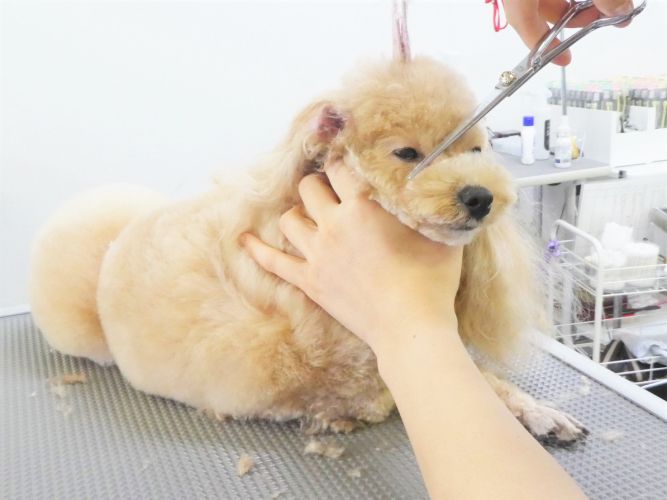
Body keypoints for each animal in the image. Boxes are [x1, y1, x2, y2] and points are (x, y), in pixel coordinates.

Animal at [29, 54, 586, 443]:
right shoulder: (355, 375)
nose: (481, 197)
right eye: (407, 153)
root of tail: (118, 233)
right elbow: (406, 393)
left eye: (476, 149)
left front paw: (540, 412)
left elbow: (483, 382)